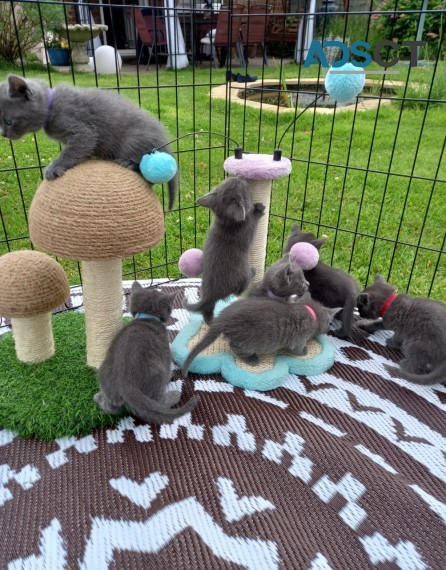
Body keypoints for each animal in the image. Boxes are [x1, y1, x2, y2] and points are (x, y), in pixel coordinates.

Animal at [0, 74, 178, 210]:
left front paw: (54, 167)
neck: (51, 105)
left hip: (134, 138)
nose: (3, 134)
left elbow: (72, 150)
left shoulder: (83, 131)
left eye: (8, 121)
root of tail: (163, 137)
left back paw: (129, 163)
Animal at [181, 296, 342, 374]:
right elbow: (297, 349)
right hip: (249, 339)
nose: (329, 329)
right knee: (235, 346)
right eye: (329, 323)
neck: (309, 310)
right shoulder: (299, 338)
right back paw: (252, 359)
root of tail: (224, 317)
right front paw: (305, 351)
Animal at [183, 175, 264, 322]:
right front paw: (258, 209)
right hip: (242, 276)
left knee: (207, 310)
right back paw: (253, 271)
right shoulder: (248, 228)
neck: (227, 222)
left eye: (231, 179)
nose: (241, 176)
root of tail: (210, 294)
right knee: (240, 289)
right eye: (243, 185)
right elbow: (253, 219)